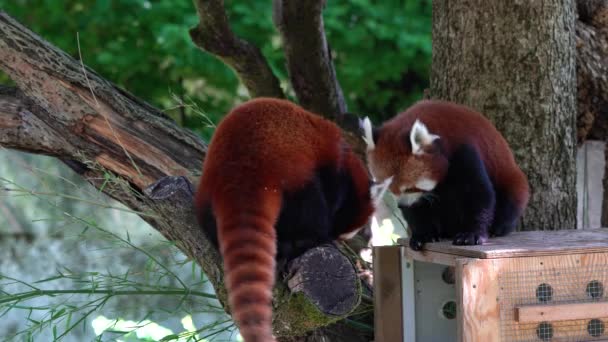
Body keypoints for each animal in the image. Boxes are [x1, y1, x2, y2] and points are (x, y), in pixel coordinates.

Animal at [195, 97, 376, 340]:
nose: (336, 236)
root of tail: (239, 177)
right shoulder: (330, 167)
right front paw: (326, 236)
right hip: (293, 175)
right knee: (309, 209)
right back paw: (308, 241)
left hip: (208, 190)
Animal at [364, 99, 528, 251]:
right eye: (389, 188)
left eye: (409, 188)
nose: (401, 205)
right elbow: (417, 209)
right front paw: (423, 235)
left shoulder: (463, 149)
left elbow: (478, 193)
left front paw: (471, 234)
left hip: (512, 181)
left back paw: (497, 228)